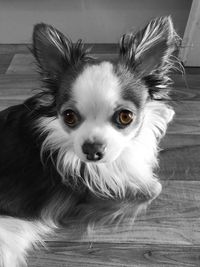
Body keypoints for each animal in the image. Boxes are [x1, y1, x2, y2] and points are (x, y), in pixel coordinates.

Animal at [0, 16, 178, 266]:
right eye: (68, 116)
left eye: (125, 117)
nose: (92, 151)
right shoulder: (90, 194)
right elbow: (153, 186)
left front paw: (162, 112)